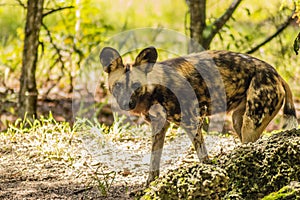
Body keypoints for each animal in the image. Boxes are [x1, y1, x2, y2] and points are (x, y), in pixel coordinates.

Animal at [99, 46, 298, 184]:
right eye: (118, 85)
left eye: (136, 86)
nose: (127, 104)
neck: (155, 88)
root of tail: (276, 73)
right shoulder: (159, 128)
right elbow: (154, 163)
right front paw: (150, 185)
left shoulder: (193, 122)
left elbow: (203, 157)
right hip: (239, 121)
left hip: (251, 122)